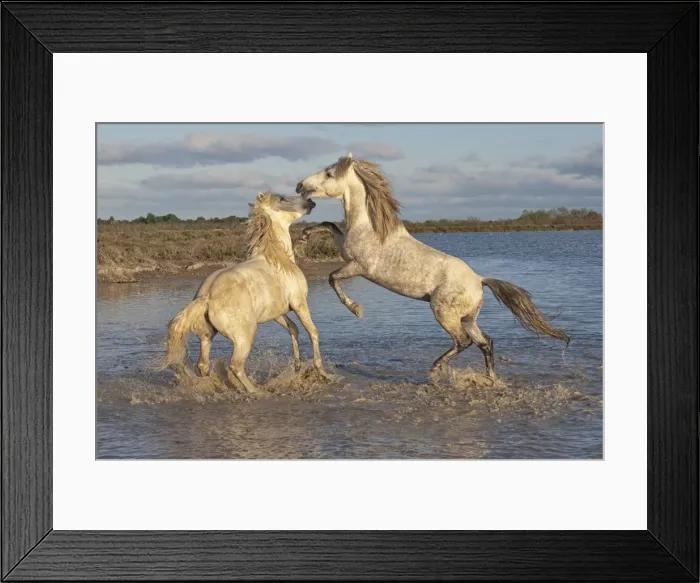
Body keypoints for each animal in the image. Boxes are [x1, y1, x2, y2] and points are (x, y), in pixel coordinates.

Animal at [162, 191, 331, 395]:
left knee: (203, 364)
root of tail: (207, 296)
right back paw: (257, 391)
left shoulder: (276, 312)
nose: (310, 201)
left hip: (207, 335)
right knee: (235, 365)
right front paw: (323, 373)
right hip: (244, 337)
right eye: (282, 198)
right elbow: (312, 331)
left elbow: (293, 329)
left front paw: (297, 366)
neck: (278, 257)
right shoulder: (299, 303)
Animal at [295, 153, 569, 378]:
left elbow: (332, 278)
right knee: (485, 342)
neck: (370, 228)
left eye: (329, 174)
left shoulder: (359, 266)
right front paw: (304, 236)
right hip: (467, 318)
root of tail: (480, 280)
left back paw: (436, 369)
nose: (300, 186)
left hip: (444, 313)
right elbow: (329, 225)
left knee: (464, 342)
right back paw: (491, 379)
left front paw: (356, 309)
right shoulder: (344, 250)